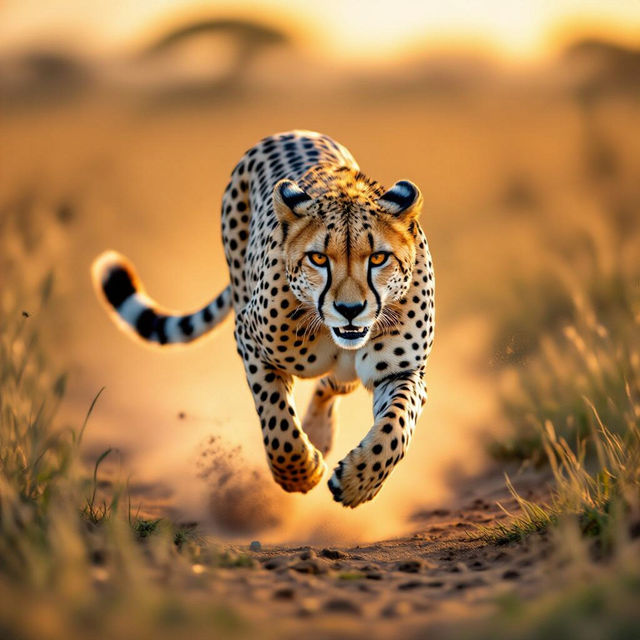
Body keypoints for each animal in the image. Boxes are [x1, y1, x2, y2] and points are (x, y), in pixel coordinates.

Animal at [92, 130, 435, 508]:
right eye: (318, 258)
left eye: (377, 258)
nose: (350, 309)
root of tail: (293, 132)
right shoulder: (250, 340)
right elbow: (276, 418)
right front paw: (299, 474)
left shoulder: (401, 371)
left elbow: (395, 427)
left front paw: (359, 480)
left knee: (334, 383)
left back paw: (320, 432)